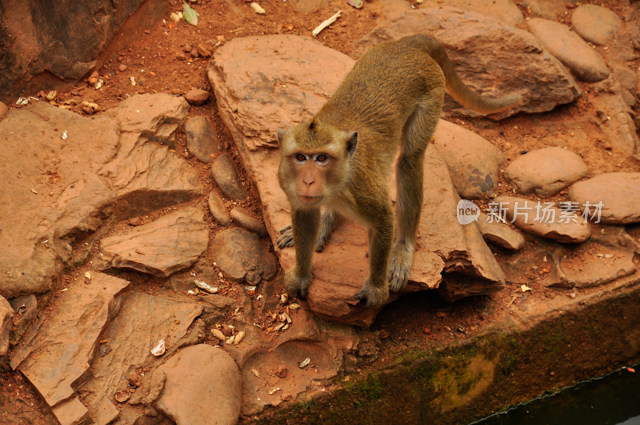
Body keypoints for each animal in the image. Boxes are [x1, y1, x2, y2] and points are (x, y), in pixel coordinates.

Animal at [276, 33, 520, 304]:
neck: (337, 185)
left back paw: (403, 246)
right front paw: (301, 275)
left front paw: (375, 287)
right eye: (300, 157)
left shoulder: (363, 189)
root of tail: (407, 44)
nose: (308, 181)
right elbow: (304, 214)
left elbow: (383, 220)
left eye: (321, 158)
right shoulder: (289, 186)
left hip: (432, 92)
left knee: (409, 160)